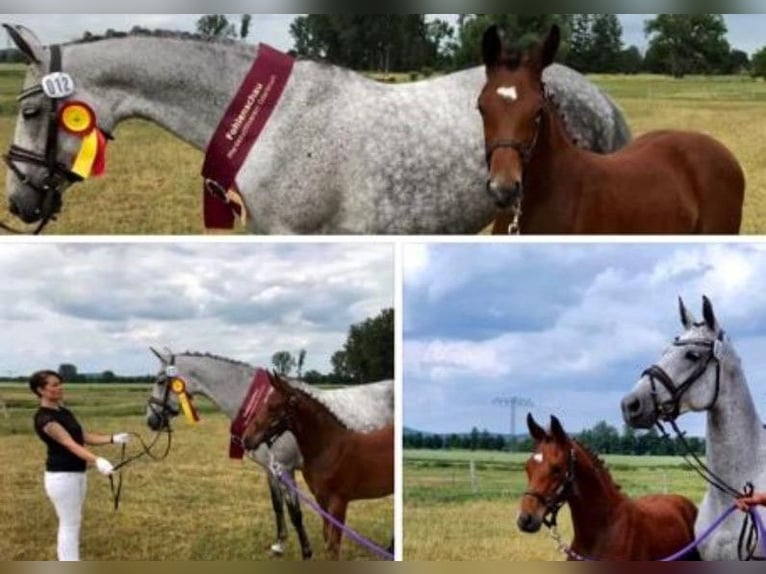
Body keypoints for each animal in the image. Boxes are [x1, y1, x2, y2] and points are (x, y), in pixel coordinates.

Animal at [148, 348, 396, 560]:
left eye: (161, 381)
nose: (151, 420)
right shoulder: (271, 468)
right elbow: (277, 507)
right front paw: (279, 545)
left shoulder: (286, 469)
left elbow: (295, 512)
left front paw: (307, 552)